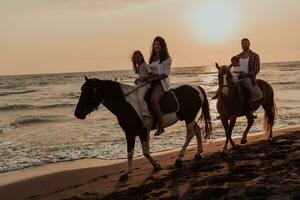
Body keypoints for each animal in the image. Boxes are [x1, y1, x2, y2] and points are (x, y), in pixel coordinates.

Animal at [75, 76, 212, 180]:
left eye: (88, 93)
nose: (77, 113)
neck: (127, 105)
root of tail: (197, 87)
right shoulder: (129, 133)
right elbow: (130, 152)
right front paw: (127, 172)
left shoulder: (142, 131)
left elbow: (145, 152)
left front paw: (156, 165)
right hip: (188, 117)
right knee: (197, 130)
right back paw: (198, 152)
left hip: (189, 117)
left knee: (189, 134)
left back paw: (179, 158)